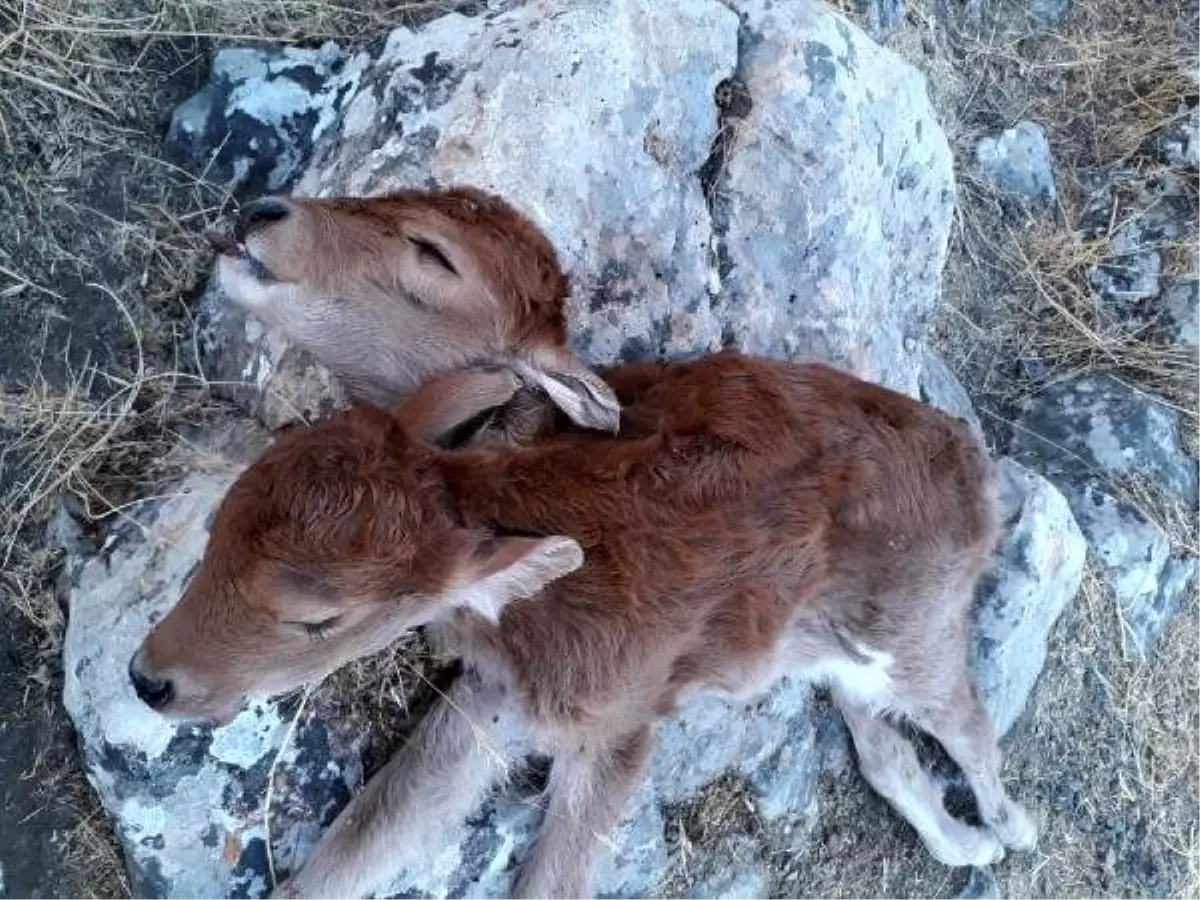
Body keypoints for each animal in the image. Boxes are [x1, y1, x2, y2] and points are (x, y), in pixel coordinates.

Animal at [129, 352, 1032, 900]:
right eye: (218, 524)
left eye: (319, 618)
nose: (149, 679)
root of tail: (972, 460)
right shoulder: (493, 700)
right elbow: (366, 837)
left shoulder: (619, 728)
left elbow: (550, 878)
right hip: (833, 657)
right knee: (886, 751)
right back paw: (967, 846)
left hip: (917, 635)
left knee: (970, 726)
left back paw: (1010, 830)